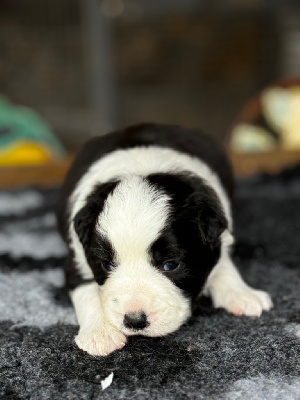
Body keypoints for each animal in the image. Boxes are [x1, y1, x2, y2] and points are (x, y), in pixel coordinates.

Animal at [56, 122, 274, 356]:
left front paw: (243, 294)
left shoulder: (218, 238)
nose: (134, 320)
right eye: (106, 265)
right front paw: (101, 334)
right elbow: (86, 291)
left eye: (170, 265)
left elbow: (223, 265)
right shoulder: (76, 256)